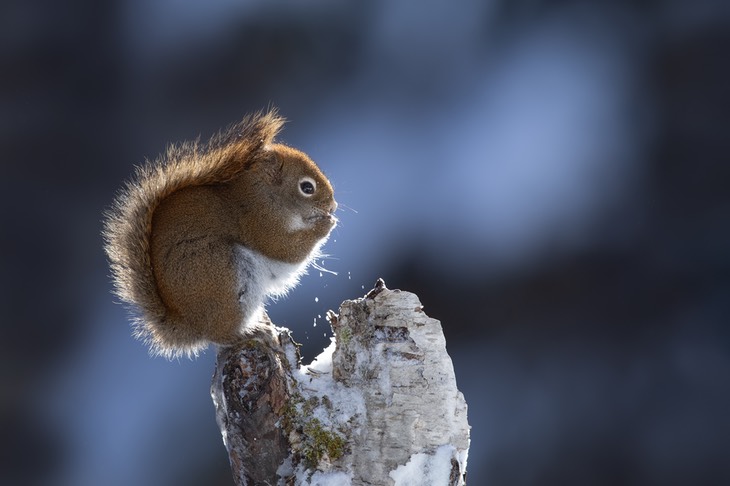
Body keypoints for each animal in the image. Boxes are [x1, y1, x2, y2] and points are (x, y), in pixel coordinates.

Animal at [101, 111, 336, 360]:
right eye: (307, 187)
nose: (333, 206)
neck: (263, 195)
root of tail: (190, 324)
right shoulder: (258, 223)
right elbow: (286, 249)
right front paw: (325, 225)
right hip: (222, 273)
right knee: (220, 335)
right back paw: (253, 333)